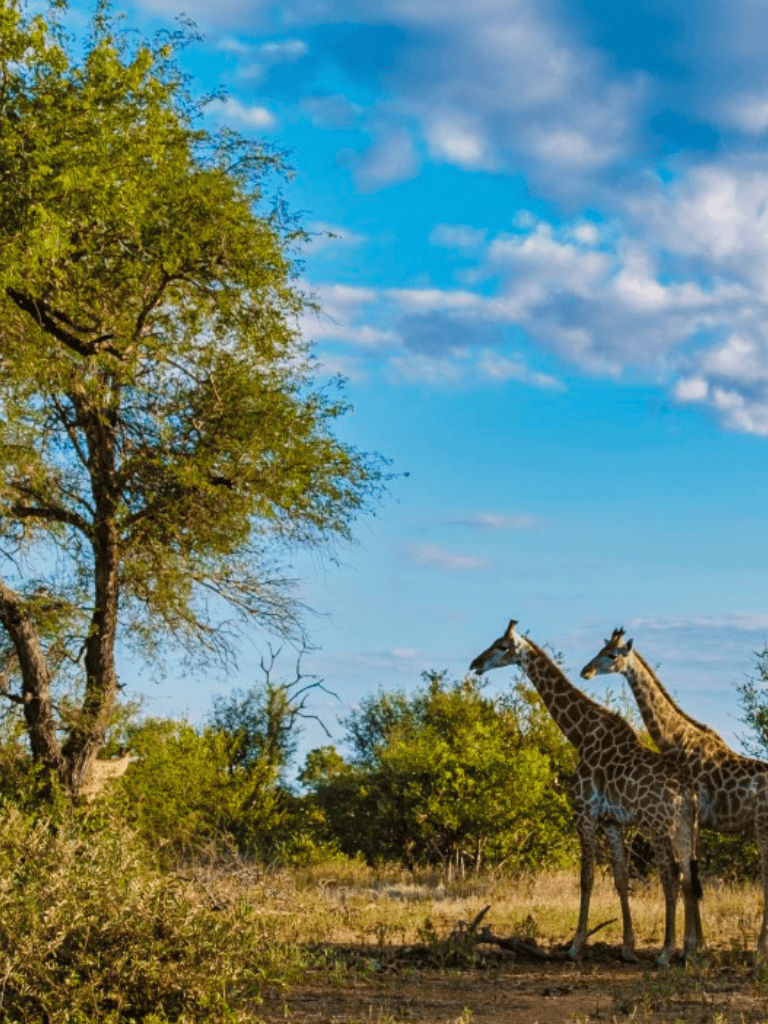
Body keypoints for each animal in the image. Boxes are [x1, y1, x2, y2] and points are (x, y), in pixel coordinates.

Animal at [470, 620, 703, 965]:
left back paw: (665, 953)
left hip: (657, 825)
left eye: (502, 646)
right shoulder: (612, 821)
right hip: (685, 827)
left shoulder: (584, 812)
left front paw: (576, 945)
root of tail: (689, 792)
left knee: (670, 877)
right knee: (688, 876)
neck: (579, 734)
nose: (475, 664)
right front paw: (627, 948)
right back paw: (688, 951)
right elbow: (620, 879)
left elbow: (587, 877)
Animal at [582, 626, 768, 963]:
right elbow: (691, 876)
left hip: (762, 827)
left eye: (612, 655)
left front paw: (689, 947)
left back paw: (759, 952)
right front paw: (696, 945)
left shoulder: (692, 817)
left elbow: (686, 877)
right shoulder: (696, 821)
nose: (585, 671)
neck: (678, 741)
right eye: (600, 649)